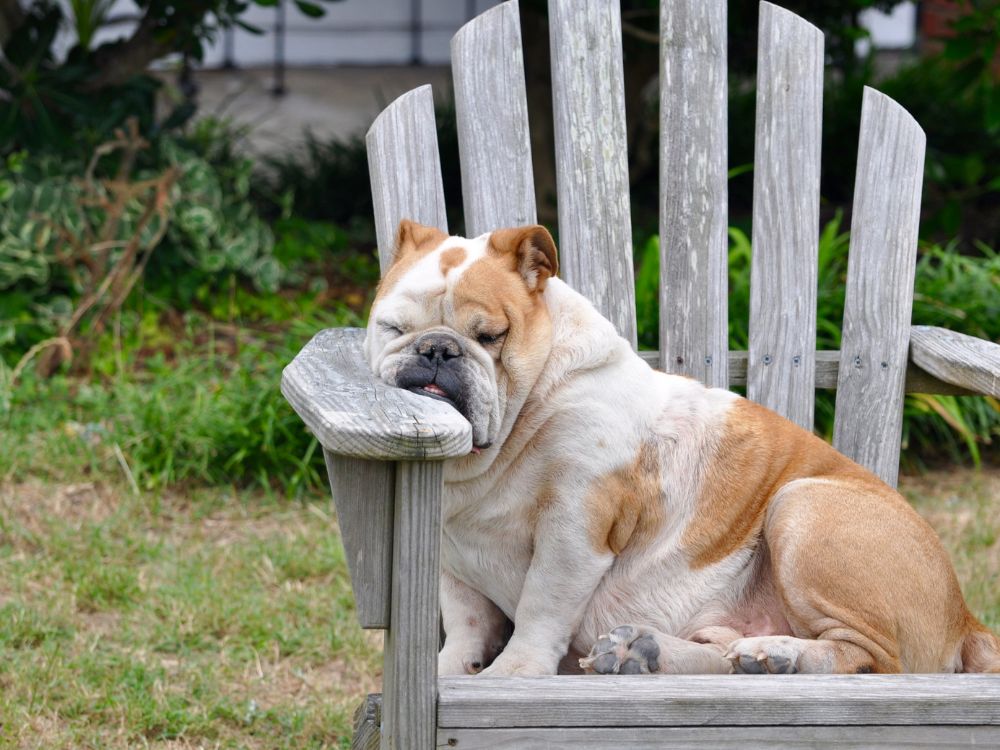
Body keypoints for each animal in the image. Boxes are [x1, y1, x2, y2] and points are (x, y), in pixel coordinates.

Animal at [362, 220, 1000, 680]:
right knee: (724, 650)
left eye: (491, 336)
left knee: (872, 657)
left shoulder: (572, 528)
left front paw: (514, 673)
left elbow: (542, 605)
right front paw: (453, 668)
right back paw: (654, 654)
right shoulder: (452, 553)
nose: (437, 349)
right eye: (393, 328)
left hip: (801, 507)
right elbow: (467, 617)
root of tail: (965, 614)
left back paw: (780, 655)